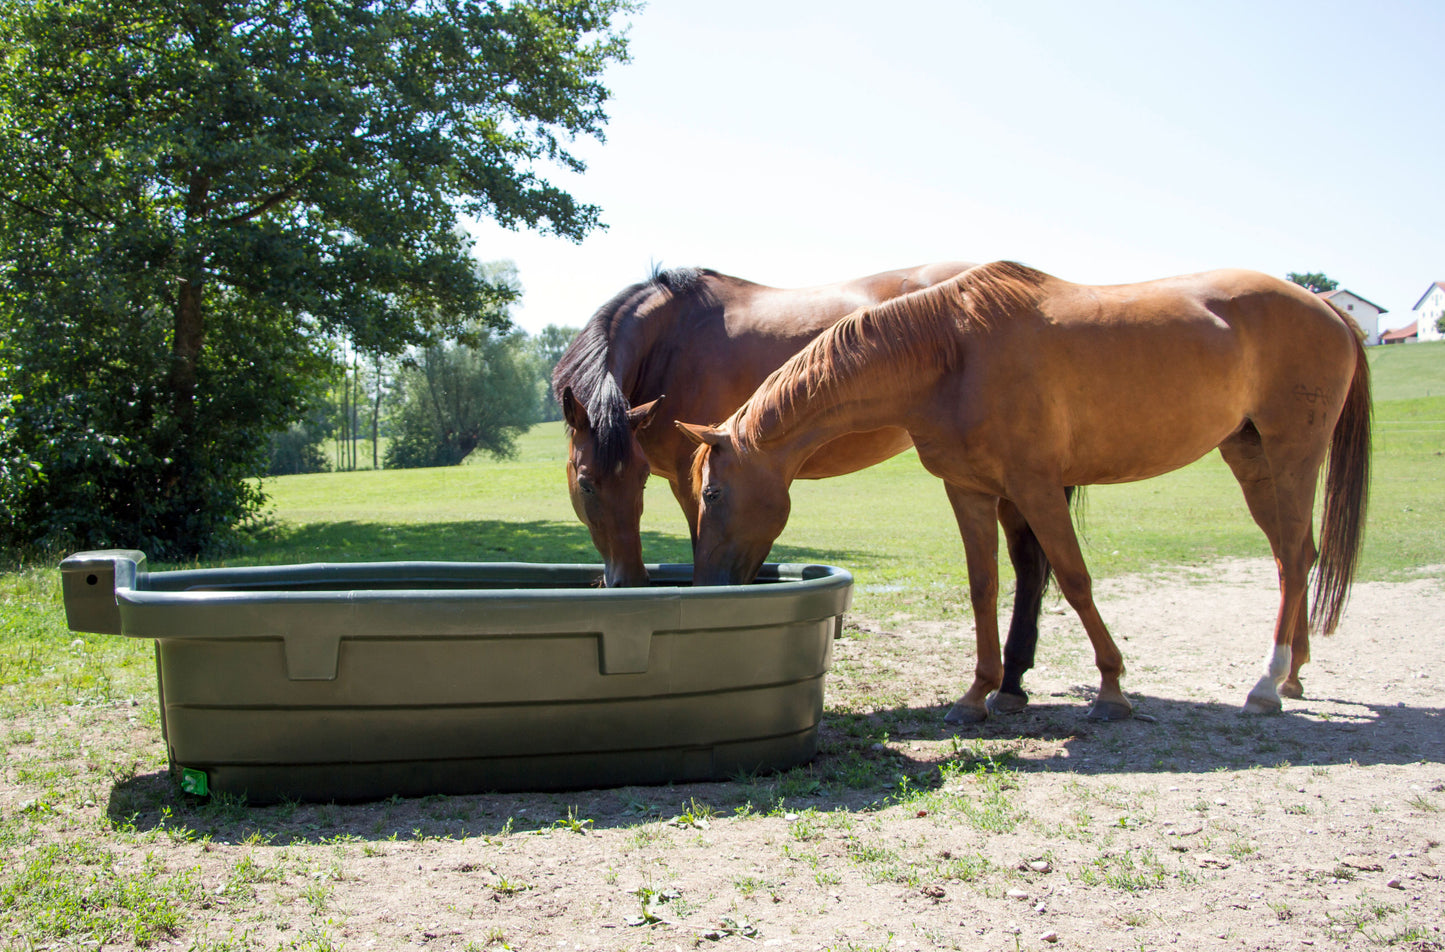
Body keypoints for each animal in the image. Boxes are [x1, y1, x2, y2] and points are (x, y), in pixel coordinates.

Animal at [551, 264, 1075, 710]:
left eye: (631, 481)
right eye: (588, 484)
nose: (627, 584)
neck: (673, 340)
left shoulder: (693, 479)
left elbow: (706, 547)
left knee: (1029, 564)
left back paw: (1010, 685)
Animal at [682, 260, 1369, 722]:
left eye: (712, 496)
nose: (708, 586)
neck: (951, 355)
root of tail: (1330, 310)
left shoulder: (1036, 487)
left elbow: (1074, 578)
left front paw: (1112, 689)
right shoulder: (969, 491)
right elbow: (983, 586)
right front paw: (978, 694)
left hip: (1293, 453)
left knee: (1292, 557)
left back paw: (1266, 684)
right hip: (1252, 457)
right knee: (1293, 557)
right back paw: (1292, 676)